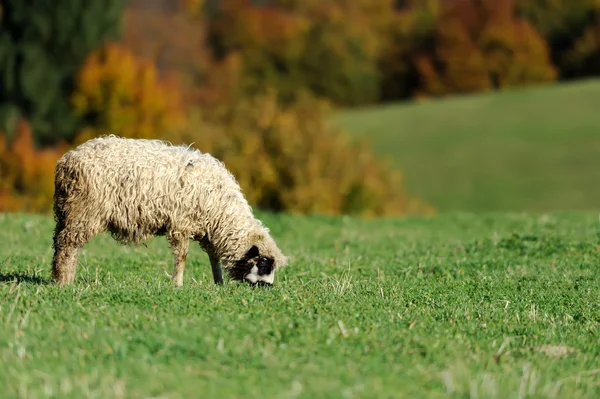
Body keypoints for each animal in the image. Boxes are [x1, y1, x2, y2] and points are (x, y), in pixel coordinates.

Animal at [50, 136, 290, 290]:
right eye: (264, 263)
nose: (268, 288)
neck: (222, 212)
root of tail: (66, 160)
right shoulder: (181, 224)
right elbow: (182, 257)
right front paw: (178, 284)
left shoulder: (207, 230)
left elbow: (213, 258)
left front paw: (218, 283)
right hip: (83, 211)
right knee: (66, 246)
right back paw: (63, 281)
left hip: (69, 212)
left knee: (63, 245)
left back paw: (62, 277)